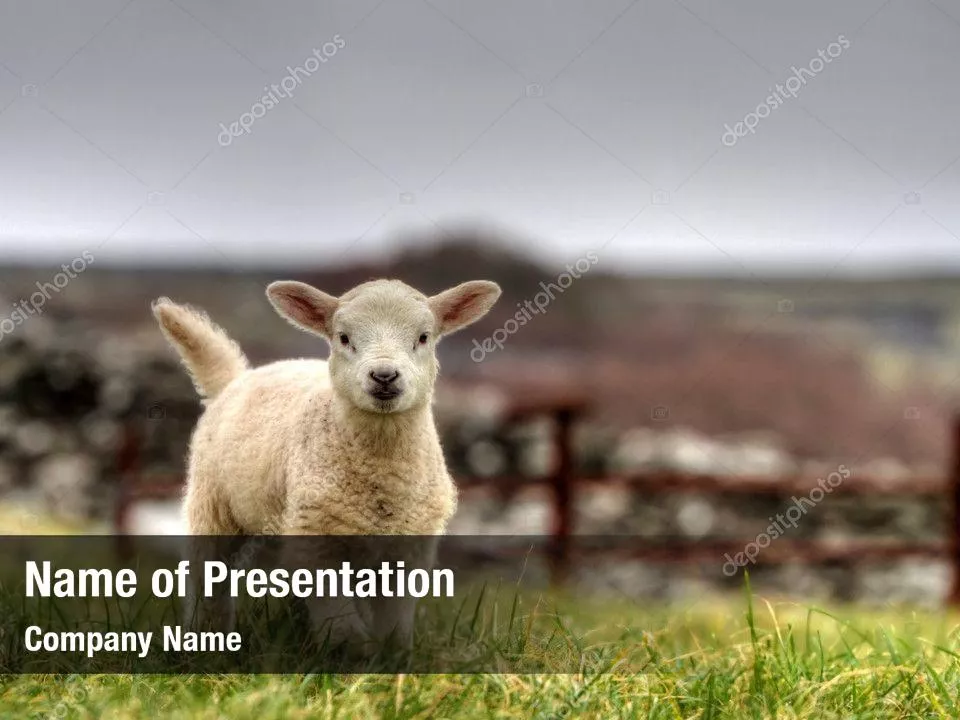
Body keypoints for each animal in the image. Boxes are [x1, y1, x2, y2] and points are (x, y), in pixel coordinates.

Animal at [152, 278, 501, 650]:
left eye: (423, 337)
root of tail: (237, 378)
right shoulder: (316, 538)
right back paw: (207, 634)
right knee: (208, 575)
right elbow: (343, 624)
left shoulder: (409, 545)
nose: (384, 376)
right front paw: (352, 652)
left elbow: (392, 620)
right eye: (343, 338)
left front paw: (391, 654)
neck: (381, 467)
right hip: (212, 503)